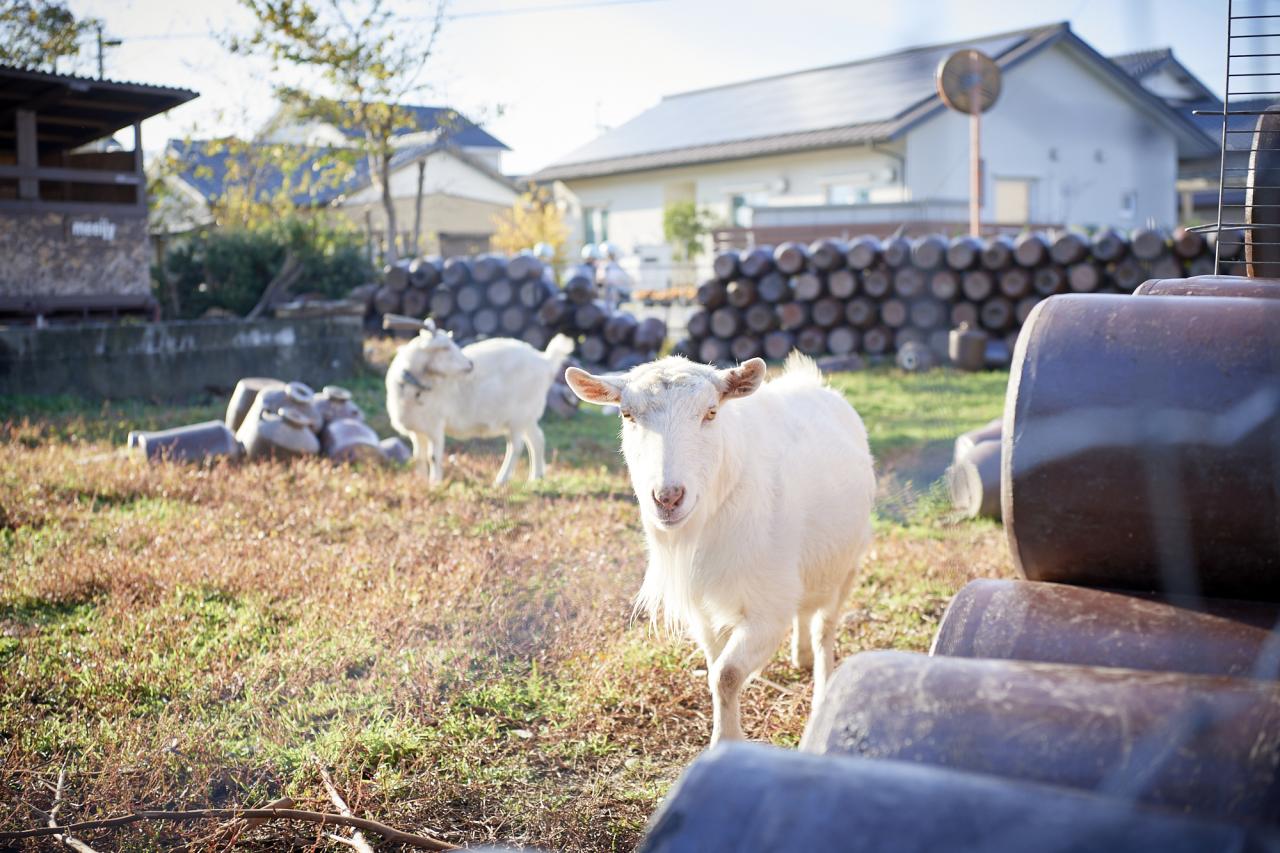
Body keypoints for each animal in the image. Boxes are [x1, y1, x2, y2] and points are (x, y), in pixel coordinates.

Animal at [384, 325, 576, 484]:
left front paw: (434, 484)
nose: (470, 364)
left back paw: (501, 480)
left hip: (519, 416)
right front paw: (421, 481)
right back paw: (536, 477)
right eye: (445, 347)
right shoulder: (417, 430)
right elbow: (419, 457)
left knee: (516, 446)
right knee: (537, 439)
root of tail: (545, 361)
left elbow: (433, 457)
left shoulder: (435, 425)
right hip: (526, 417)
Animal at [565, 348, 875, 742]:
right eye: (627, 414)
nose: (667, 498)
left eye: (711, 412)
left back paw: (821, 693)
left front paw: (725, 741)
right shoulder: (703, 610)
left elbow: (726, 676)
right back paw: (800, 656)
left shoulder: (768, 611)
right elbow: (715, 669)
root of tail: (813, 384)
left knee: (826, 627)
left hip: (849, 561)